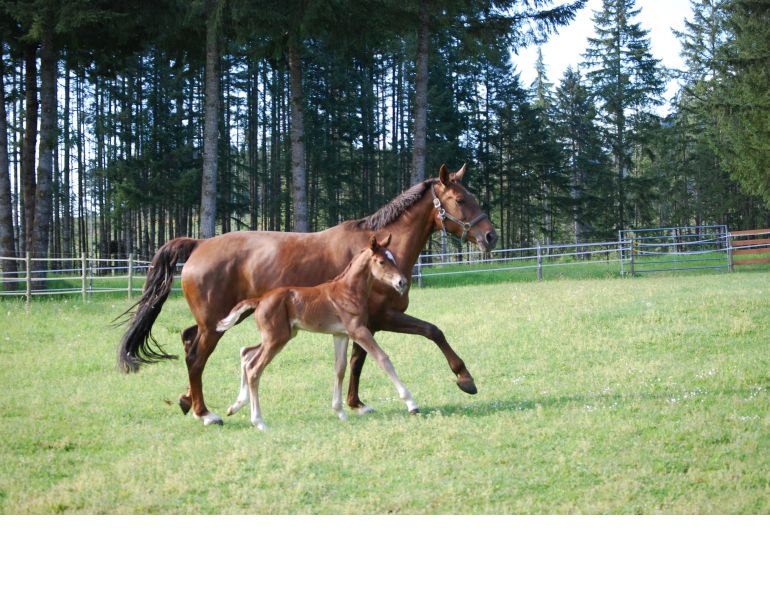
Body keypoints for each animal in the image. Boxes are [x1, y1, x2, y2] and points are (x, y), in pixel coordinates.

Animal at [216, 234, 415, 429]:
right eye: (381, 261)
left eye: (393, 258)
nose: (402, 282)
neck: (348, 291)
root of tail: (259, 300)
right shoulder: (358, 330)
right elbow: (383, 359)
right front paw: (411, 403)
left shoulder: (341, 334)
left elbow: (340, 368)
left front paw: (340, 411)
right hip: (276, 338)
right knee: (254, 369)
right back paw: (259, 421)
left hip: (279, 335)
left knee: (246, 353)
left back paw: (236, 406)